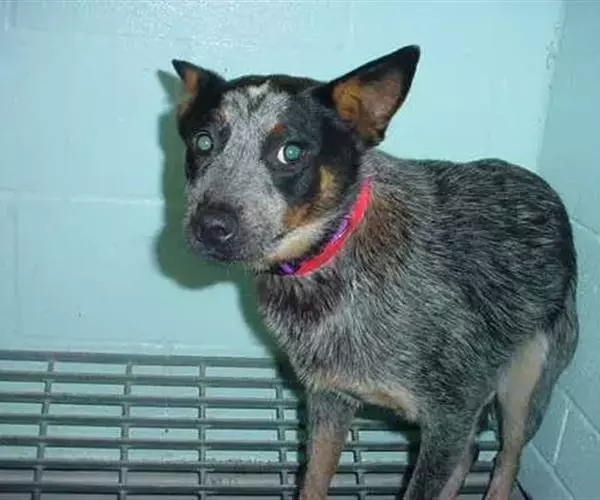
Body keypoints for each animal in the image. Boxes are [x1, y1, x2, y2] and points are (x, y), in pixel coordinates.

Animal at [170, 45, 578, 500]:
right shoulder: (329, 398)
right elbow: (312, 481)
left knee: (508, 458)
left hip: (525, 385)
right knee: (471, 454)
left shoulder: (451, 414)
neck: (330, 261)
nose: (209, 226)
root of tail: (547, 193)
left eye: (291, 152)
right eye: (203, 142)